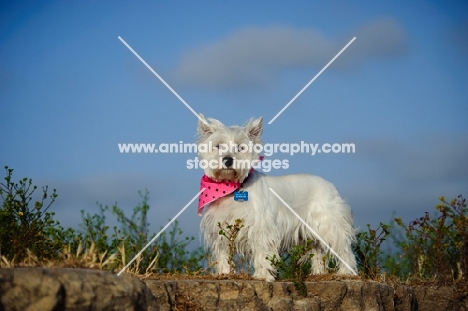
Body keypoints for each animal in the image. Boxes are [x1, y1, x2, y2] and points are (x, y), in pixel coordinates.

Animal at [197, 115, 354, 282]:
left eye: (241, 147)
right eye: (218, 146)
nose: (228, 160)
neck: (230, 188)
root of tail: (331, 185)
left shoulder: (261, 227)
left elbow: (262, 251)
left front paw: (262, 275)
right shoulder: (220, 228)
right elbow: (223, 252)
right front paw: (224, 273)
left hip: (329, 224)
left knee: (343, 248)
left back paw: (345, 272)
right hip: (312, 231)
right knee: (317, 250)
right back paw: (318, 273)